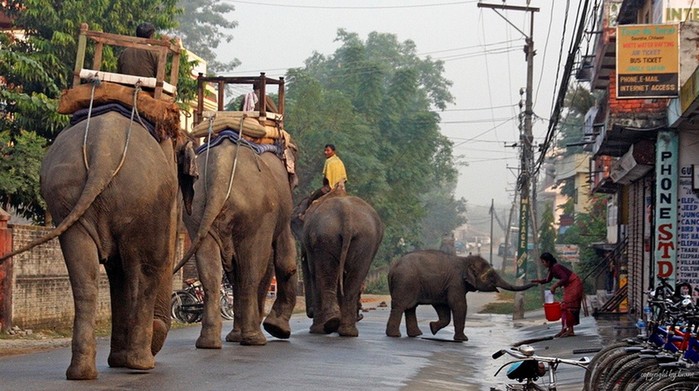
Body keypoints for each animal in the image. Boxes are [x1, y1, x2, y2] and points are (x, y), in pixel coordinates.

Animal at [0, 112, 196, 382]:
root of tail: (102, 151)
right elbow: (137, 266)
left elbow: (116, 271)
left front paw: (118, 360)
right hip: (142, 198)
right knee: (145, 270)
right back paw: (140, 363)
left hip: (66, 195)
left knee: (85, 277)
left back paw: (82, 372)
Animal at [178, 139, 298, 348]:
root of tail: (220, 170)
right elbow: (283, 258)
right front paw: (277, 330)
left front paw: (235, 336)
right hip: (257, 214)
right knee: (252, 269)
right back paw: (255, 339)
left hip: (196, 210)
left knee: (210, 270)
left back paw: (208, 342)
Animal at [292, 190, 386, 336]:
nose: (310, 312)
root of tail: (347, 214)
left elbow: (313, 274)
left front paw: (317, 329)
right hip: (365, 240)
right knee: (354, 277)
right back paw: (347, 331)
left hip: (327, 236)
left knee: (327, 274)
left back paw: (329, 325)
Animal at [386, 253, 540, 342]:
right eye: (491, 276)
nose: (536, 282)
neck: (466, 260)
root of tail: (392, 267)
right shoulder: (456, 282)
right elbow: (458, 305)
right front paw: (463, 339)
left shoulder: (444, 285)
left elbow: (443, 307)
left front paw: (432, 328)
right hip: (405, 282)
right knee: (400, 306)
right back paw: (395, 335)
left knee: (410, 307)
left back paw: (416, 335)